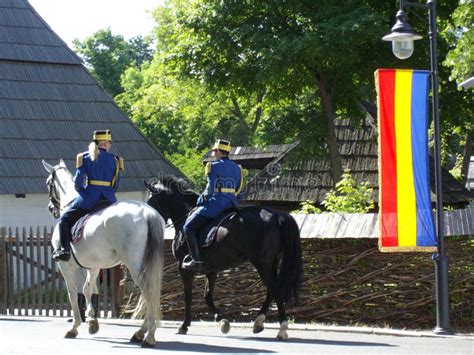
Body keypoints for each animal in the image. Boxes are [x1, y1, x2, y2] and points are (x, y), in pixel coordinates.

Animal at [43, 160, 165, 350]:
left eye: (49, 183)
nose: (51, 208)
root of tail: (148, 212)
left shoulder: (65, 266)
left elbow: (73, 293)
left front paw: (75, 327)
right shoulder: (93, 267)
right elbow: (88, 289)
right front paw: (93, 323)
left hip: (134, 265)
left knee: (148, 291)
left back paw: (149, 335)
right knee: (150, 292)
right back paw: (140, 333)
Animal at [143, 177, 304, 340]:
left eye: (151, 200)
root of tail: (278, 215)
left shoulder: (184, 269)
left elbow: (187, 297)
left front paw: (184, 326)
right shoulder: (211, 270)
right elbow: (207, 296)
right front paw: (222, 321)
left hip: (262, 264)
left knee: (275, 289)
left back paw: (282, 328)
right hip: (271, 263)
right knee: (271, 291)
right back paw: (258, 322)